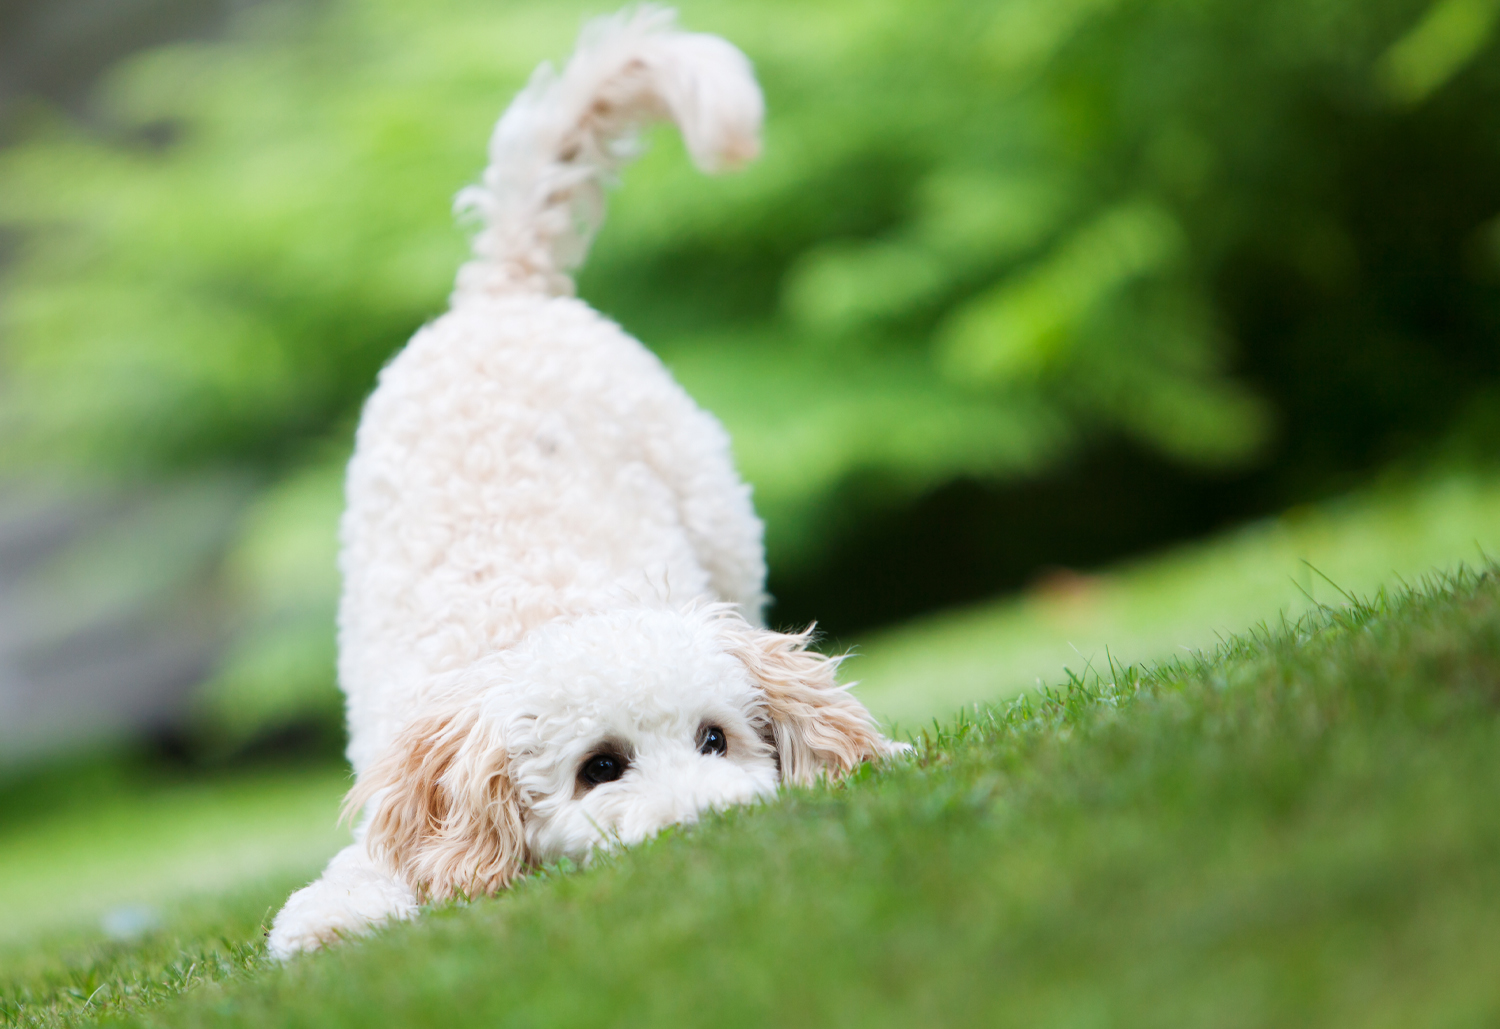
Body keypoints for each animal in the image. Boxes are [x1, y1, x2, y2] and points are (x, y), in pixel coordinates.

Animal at [267, 8, 900, 966]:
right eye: (599, 766)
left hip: (727, 536)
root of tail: (498, 291)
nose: (716, 824)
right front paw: (331, 922)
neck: (541, 614)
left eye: (716, 739)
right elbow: (367, 877)